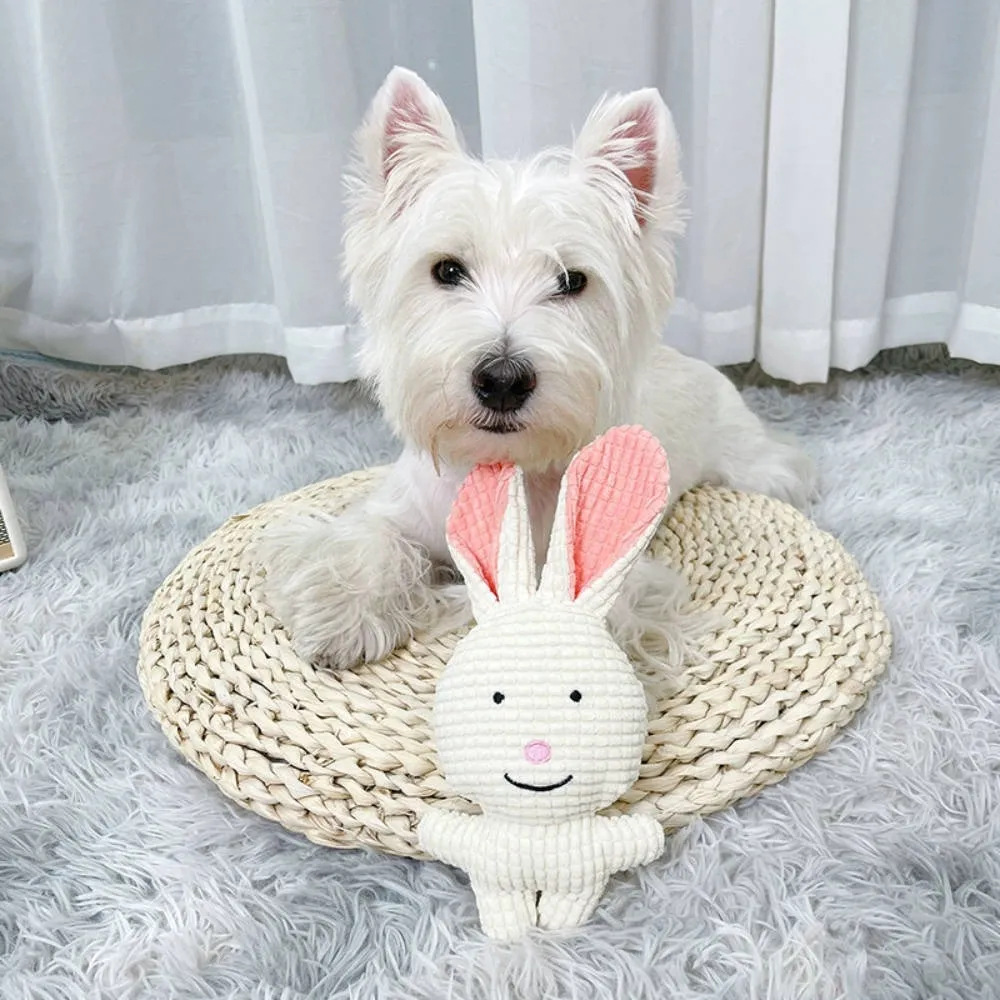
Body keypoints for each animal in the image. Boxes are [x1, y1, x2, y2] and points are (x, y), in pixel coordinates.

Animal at [257, 67, 813, 678]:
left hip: (749, 458)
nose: (502, 380)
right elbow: (369, 538)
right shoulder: (396, 508)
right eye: (447, 270)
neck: (511, 467)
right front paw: (343, 616)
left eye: (572, 280)